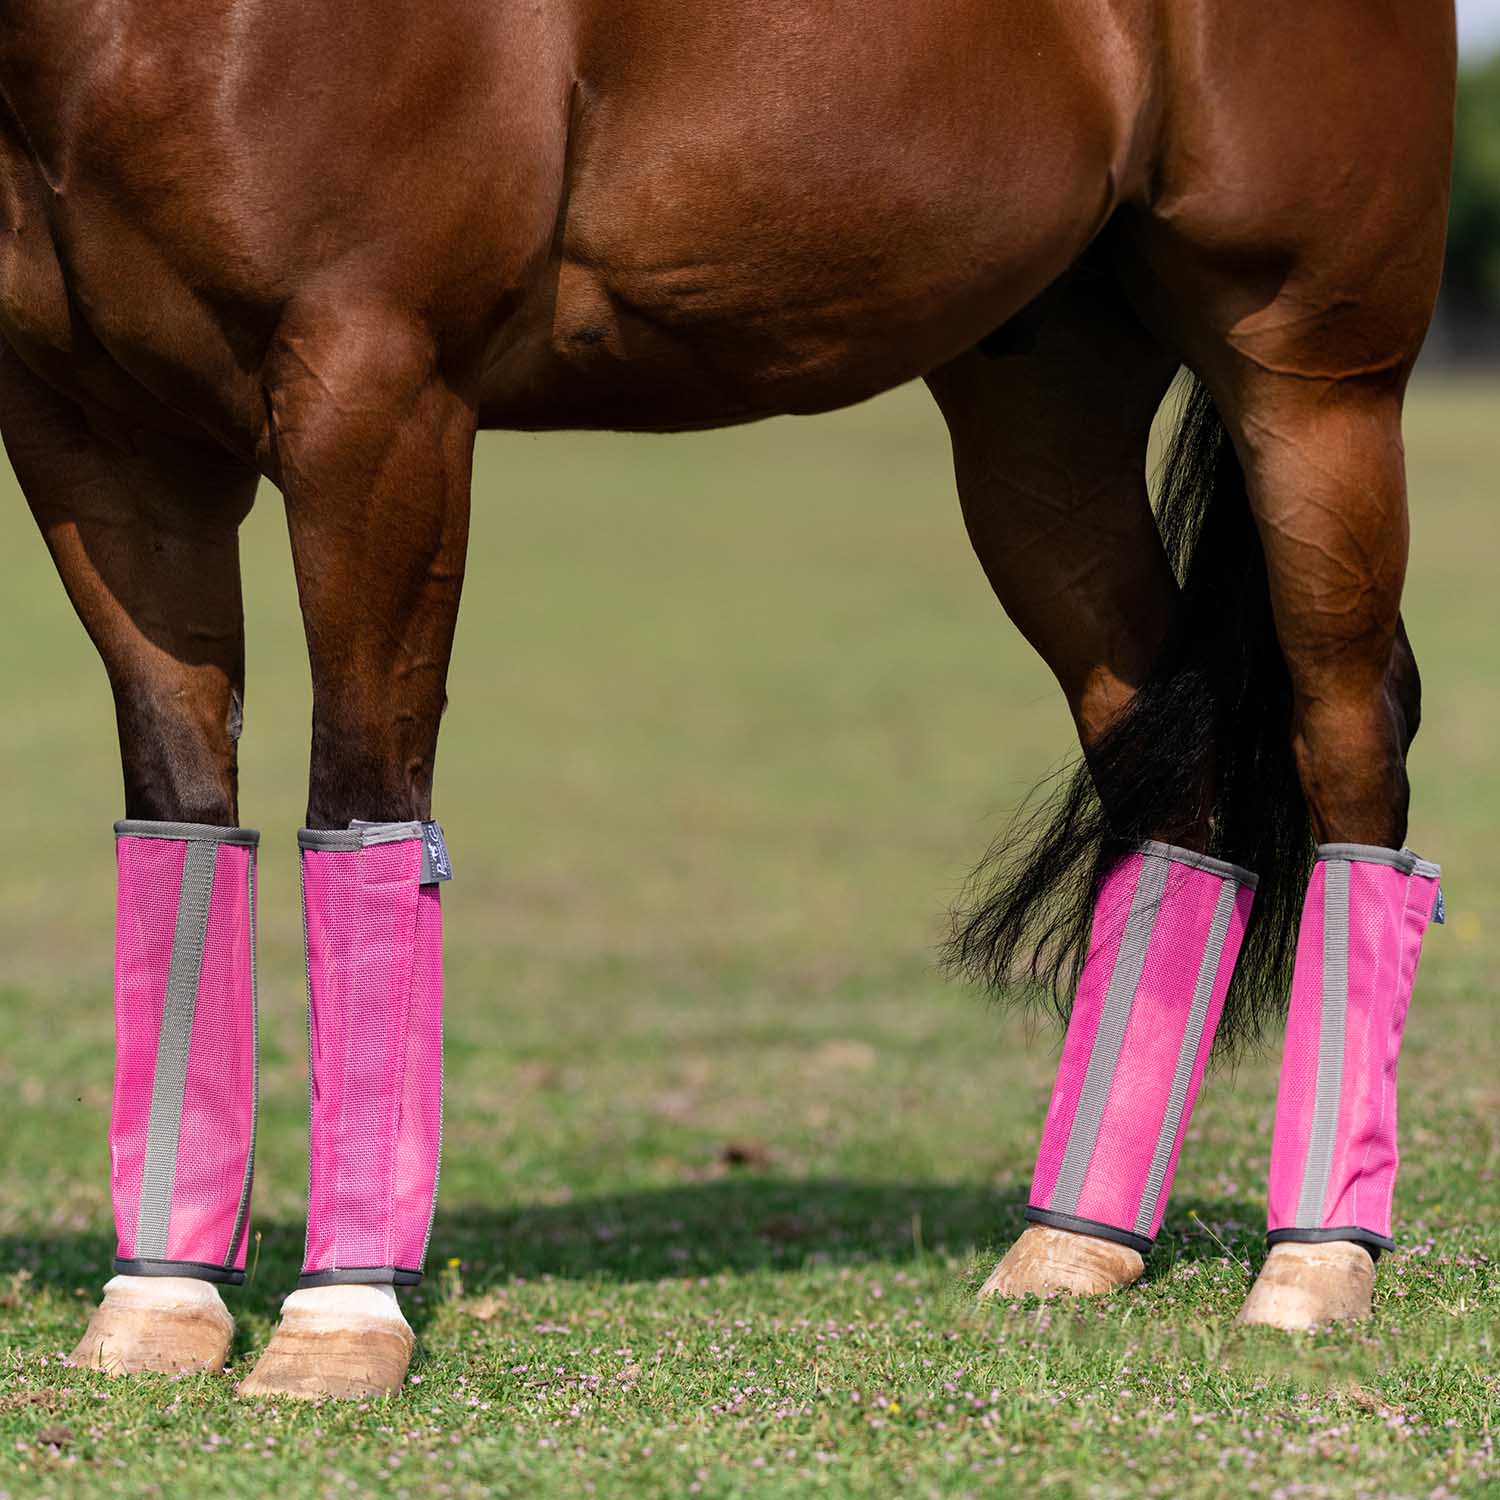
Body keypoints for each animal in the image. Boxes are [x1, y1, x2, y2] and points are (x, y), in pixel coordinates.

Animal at [0, 0, 1455, 1398]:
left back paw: (1315, 1264)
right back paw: (1076, 1244)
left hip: (1307, 374)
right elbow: (183, 815)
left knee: (1351, 738)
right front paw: (158, 1306)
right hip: (1044, 408)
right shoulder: (96, 440)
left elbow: (365, 810)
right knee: (1174, 773)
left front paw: (340, 1324)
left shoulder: (376, 399)